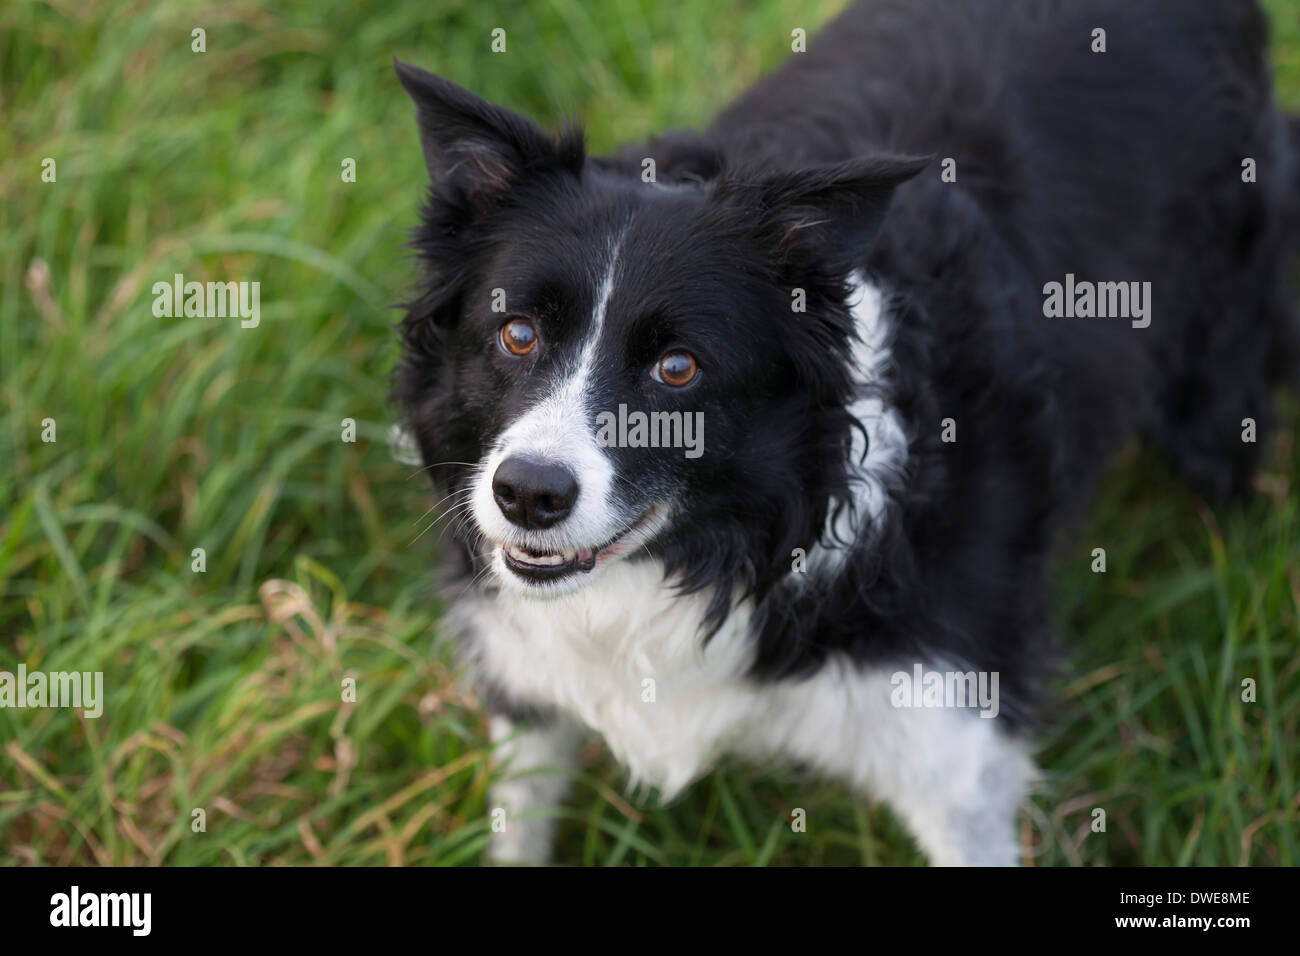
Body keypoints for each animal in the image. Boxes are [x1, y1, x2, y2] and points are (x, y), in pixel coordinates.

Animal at [390, 0, 1294, 868]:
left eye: (678, 368)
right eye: (518, 334)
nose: (528, 493)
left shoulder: (952, 741)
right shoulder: (526, 672)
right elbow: (520, 816)